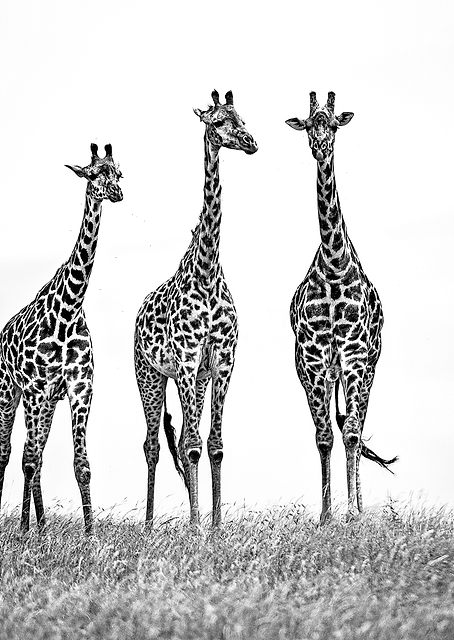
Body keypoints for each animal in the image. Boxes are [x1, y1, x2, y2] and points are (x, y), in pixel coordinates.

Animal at [0, 143, 123, 534]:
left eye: (118, 172)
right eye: (93, 173)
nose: (117, 193)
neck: (68, 311)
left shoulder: (79, 387)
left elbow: (81, 464)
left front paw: (89, 534)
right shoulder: (35, 388)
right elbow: (27, 458)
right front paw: (30, 531)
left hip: (47, 403)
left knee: (33, 454)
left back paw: (36, 525)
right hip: (10, 392)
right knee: (10, 452)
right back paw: (28, 527)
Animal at [135, 90, 257, 527]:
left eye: (242, 117)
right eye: (218, 122)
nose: (251, 142)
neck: (206, 272)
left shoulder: (221, 360)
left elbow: (214, 443)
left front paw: (216, 524)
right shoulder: (186, 360)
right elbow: (189, 445)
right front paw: (195, 526)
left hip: (195, 380)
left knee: (187, 437)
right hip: (150, 375)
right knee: (153, 444)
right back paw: (150, 523)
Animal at [286, 92, 397, 523]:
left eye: (332, 123)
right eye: (307, 123)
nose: (320, 146)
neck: (334, 265)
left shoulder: (354, 354)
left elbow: (350, 433)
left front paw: (352, 514)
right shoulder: (314, 359)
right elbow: (324, 437)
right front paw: (326, 514)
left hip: (368, 367)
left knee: (357, 426)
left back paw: (361, 507)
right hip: (323, 373)